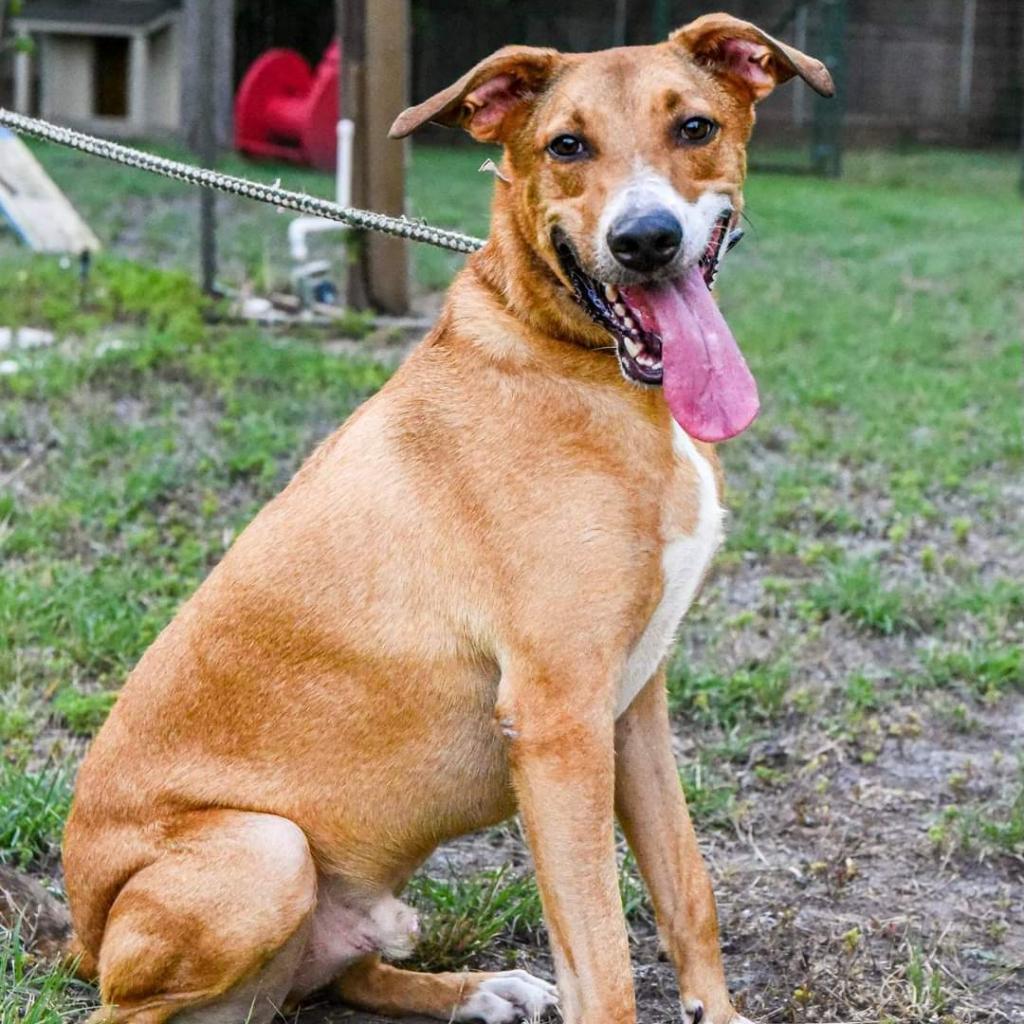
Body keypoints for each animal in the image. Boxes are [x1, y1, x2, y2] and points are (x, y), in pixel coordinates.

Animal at [51, 14, 831, 1024]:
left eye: (694, 127)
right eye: (566, 146)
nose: (646, 240)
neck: (582, 362)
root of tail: (80, 933)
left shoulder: (633, 709)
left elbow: (687, 890)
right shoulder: (556, 719)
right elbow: (605, 960)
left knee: (343, 974)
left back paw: (481, 990)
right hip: (264, 854)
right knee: (128, 1009)